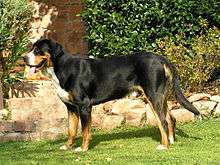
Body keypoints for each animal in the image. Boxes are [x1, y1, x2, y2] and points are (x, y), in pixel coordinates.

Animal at [24, 38, 201, 152]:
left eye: (38, 50)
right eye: (31, 49)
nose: (23, 57)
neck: (61, 69)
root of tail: (160, 57)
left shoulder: (84, 106)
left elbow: (85, 131)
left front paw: (83, 149)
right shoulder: (71, 108)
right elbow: (71, 130)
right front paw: (67, 146)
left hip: (153, 96)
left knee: (163, 122)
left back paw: (164, 146)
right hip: (160, 97)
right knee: (171, 118)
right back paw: (171, 141)